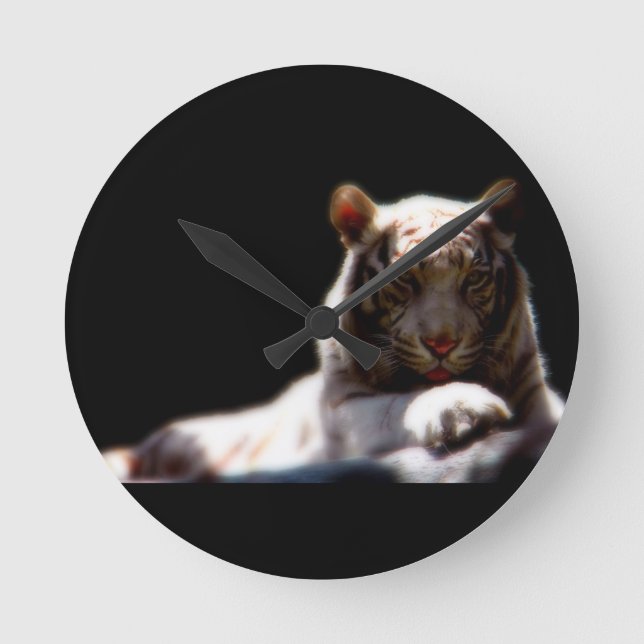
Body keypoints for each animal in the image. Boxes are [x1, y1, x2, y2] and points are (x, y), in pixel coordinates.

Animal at [103, 179, 563, 483]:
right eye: (404, 280)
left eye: (473, 279)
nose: (441, 344)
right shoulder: (344, 415)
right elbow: (394, 407)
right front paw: (464, 407)